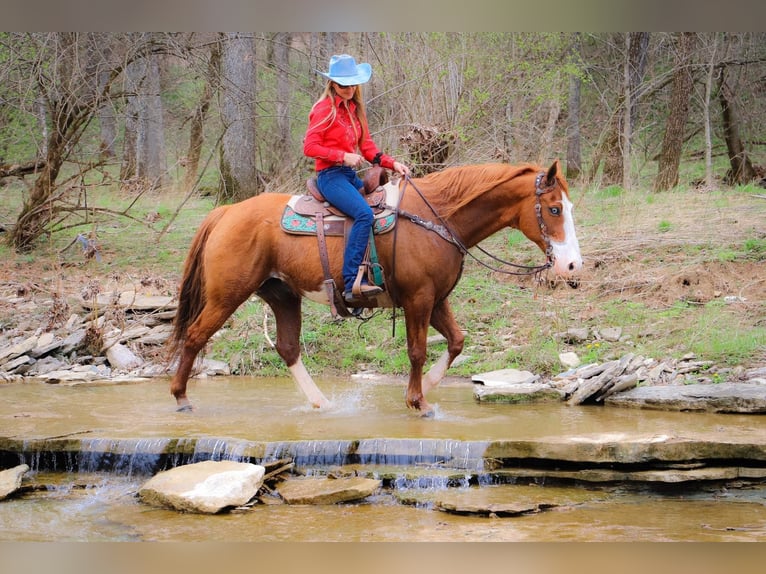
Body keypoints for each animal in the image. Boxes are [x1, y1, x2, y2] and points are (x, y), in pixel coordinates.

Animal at [168, 160, 584, 416]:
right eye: (553, 209)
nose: (571, 266)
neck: (438, 218)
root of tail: (226, 212)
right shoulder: (419, 298)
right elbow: (417, 351)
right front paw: (419, 401)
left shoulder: (437, 300)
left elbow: (456, 342)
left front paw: (426, 389)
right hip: (227, 294)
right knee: (195, 335)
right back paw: (181, 397)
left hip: (282, 294)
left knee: (287, 348)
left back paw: (321, 403)